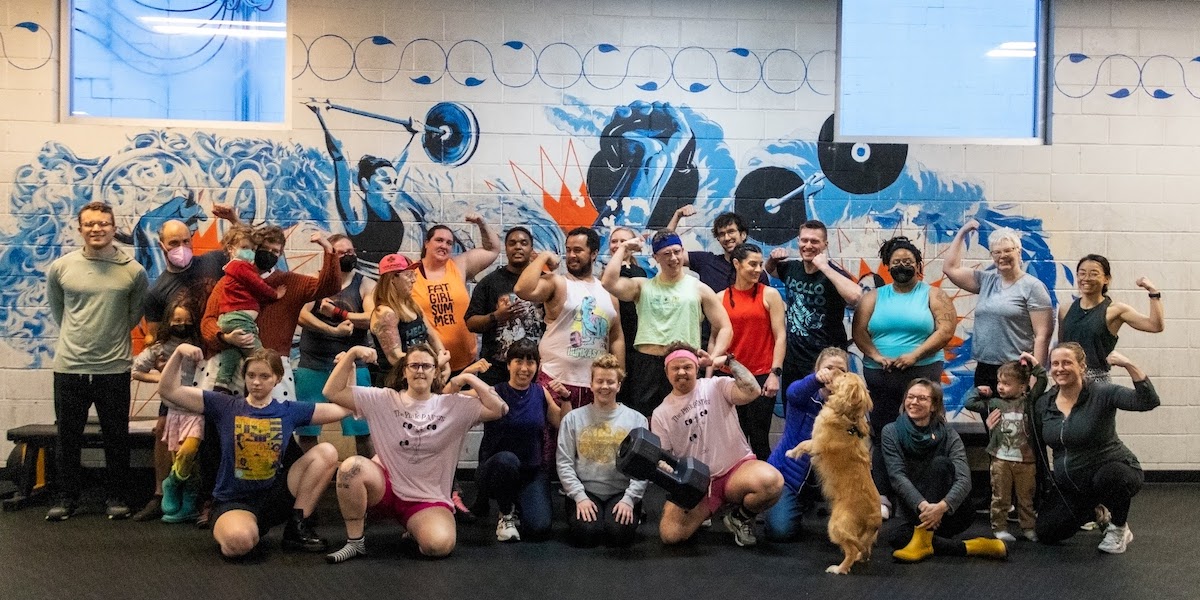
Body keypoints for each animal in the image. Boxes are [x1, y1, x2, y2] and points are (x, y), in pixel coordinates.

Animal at [787, 372, 883, 573]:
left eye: (844, 374)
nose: (834, 371)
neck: (846, 415)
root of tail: (875, 519)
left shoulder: (815, 443)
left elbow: (802, 444)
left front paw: (790, 453)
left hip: (835, 526)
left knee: (851, 551)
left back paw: (838, 569)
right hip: (861, 536)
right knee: (862, 549)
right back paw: (857, 559)